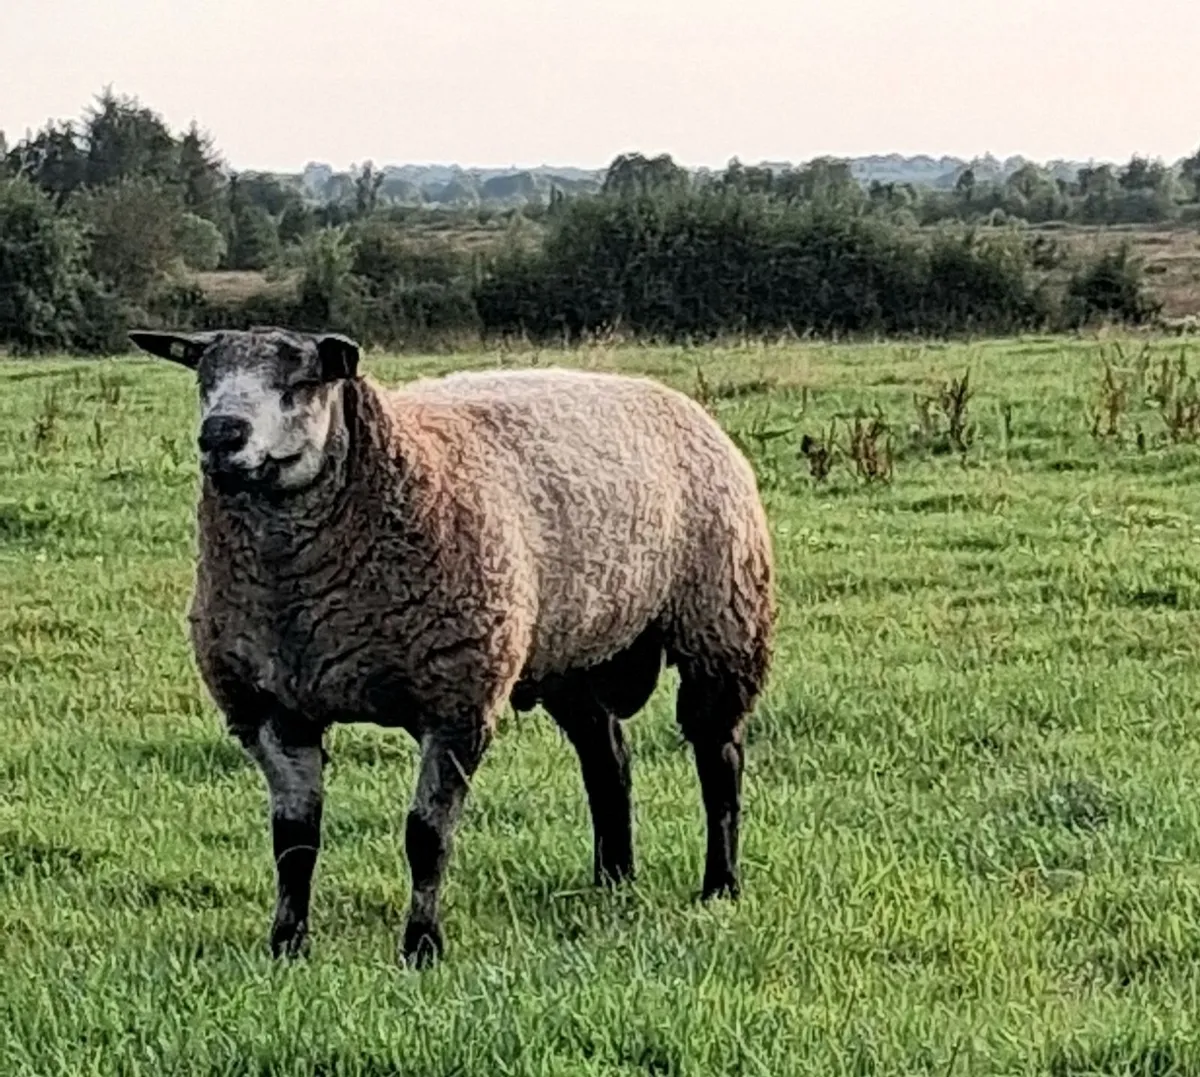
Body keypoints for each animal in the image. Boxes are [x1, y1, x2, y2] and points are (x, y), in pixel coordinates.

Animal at [128, 326, 775, 966]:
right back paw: (613, 878)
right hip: (568, 653)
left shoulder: (457, 701)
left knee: (718, 757)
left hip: (721, 623)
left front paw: (421, 946)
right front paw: (287, 944)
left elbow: (426, 835)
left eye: (302, 381)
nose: (221, 435)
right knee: (607, 757)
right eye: (204, 379)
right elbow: (293, 841)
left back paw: (720, 885)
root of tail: (667, 395)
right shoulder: (271, 710)